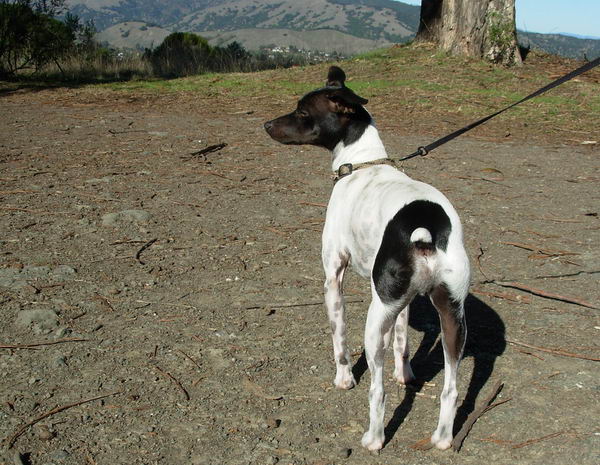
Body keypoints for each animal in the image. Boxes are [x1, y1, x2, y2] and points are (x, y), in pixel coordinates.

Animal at [264, 65, 472, 450]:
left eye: (302, 112)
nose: (267, 124)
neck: (361, 163)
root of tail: (428, 228)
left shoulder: (334, 277)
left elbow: (340, 339)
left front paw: (344, 378)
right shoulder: (403, 302)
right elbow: (403, 340)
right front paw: (405, 373)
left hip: (375, 321)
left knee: (378, 391)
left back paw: (374, 437)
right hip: (452, 317)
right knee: (450, 389)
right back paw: (441, 437)